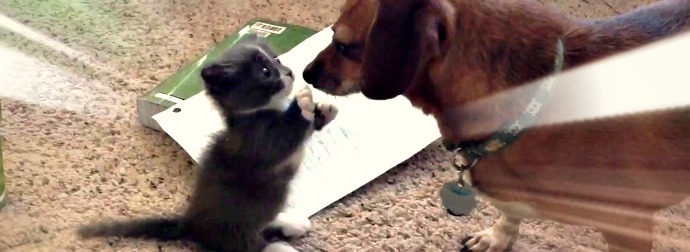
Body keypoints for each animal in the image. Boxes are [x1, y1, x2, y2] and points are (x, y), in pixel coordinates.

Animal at [77, 33, 336, 252]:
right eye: (265, 71)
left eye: (277, 59)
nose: (290, 72)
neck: (266, 109)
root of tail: (192, 222)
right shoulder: (256, 141)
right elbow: (283, 139)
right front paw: (303, 103)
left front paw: (323, 110)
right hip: (235, 224)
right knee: (249, 245)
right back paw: (280, 246)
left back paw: (290, 222)